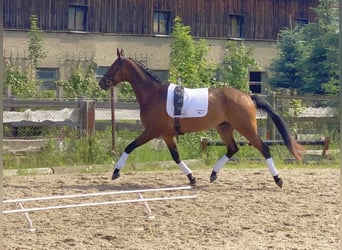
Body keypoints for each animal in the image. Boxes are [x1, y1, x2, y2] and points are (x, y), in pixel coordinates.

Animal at [99, 48, 304, 188]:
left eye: (115, 66)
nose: (102, 82)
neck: (153, 95)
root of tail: (247, 96)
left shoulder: (152, 131)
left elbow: (129, 146)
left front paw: (115, 172)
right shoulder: (166, 134)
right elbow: (176, 157)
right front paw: (192, 178)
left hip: (246, 128)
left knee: (264, 149)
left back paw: (278, 179)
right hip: (224, 127)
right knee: (232, 148)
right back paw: (213, 174)